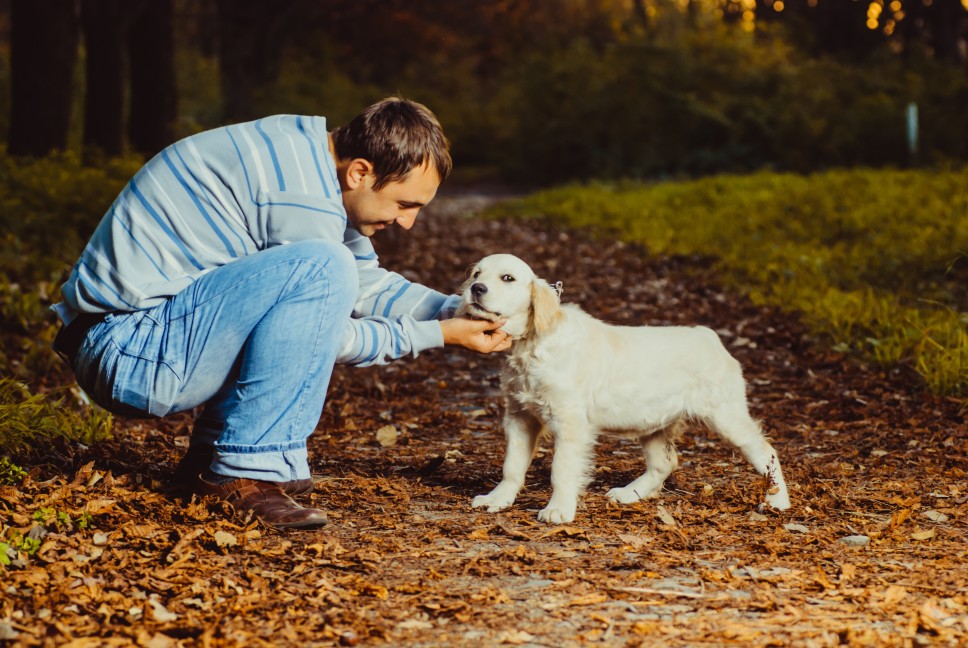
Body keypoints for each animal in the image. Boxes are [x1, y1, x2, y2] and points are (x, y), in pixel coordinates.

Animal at [458, 253, 792, 528]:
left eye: (507, 278)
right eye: (476, 274)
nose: (477, 289)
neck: (531, 345)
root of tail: (709, 336)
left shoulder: (570, 422)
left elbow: (561, 469)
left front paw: (558, 510)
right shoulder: (520, 416)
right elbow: (512, 465)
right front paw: (497, 499)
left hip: (725, 413)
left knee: (766, 451)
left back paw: (777, 501)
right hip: (655, 421)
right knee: (664, 462)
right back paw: (630, 493)